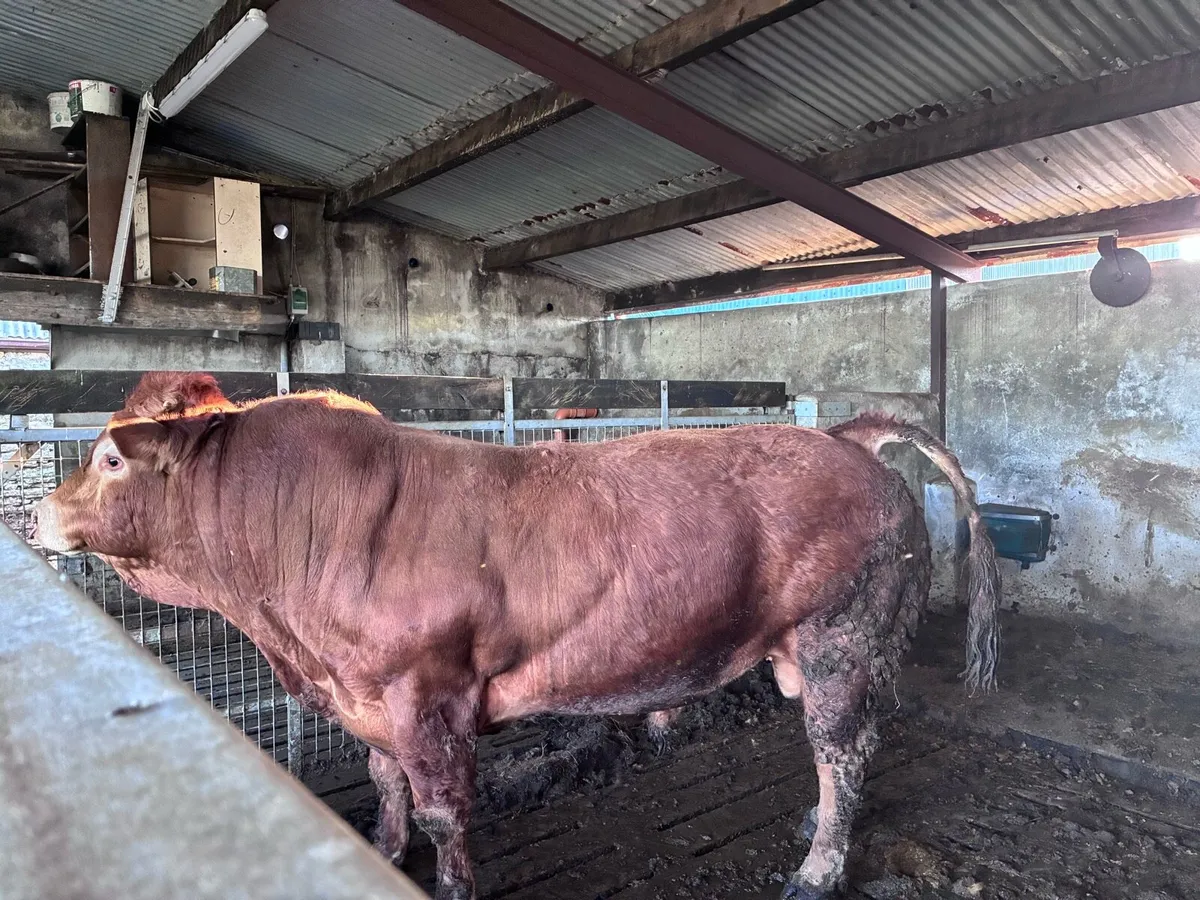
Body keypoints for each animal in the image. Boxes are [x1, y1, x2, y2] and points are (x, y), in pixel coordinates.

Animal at [33, 372, 1000, 900]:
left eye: (111, 456)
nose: (35, 512)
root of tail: (847, 439)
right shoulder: (366, 695)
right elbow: (385, 784)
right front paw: (384, 852)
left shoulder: (427, 695)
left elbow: (443, 810)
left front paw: (451, 882)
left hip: (843, 638)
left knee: (844, 748)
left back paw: (820, 866)